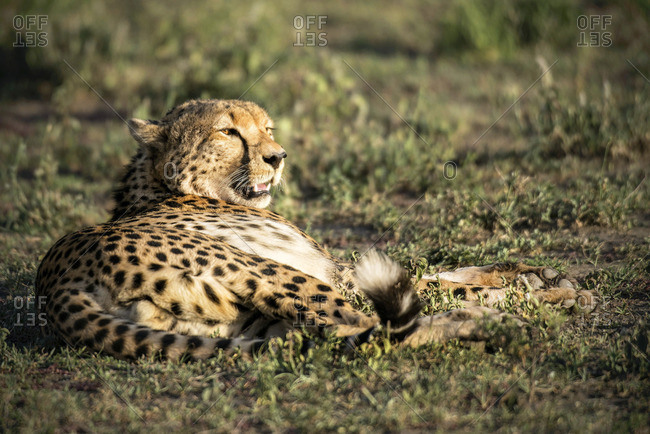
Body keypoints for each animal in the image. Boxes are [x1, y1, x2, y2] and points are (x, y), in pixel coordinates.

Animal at [35, 99, 596, 361]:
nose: (278, 157)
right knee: (377, 331)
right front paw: (545, 293)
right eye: (228, 131)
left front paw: (540, 278)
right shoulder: (336, 272)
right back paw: (491, 328)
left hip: (246, 324)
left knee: (345, 335)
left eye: (268, 129)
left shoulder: (334, 270)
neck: (165, 185)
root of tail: (53, 284)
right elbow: (434, 281)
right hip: (270, 273)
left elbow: (443, 273)